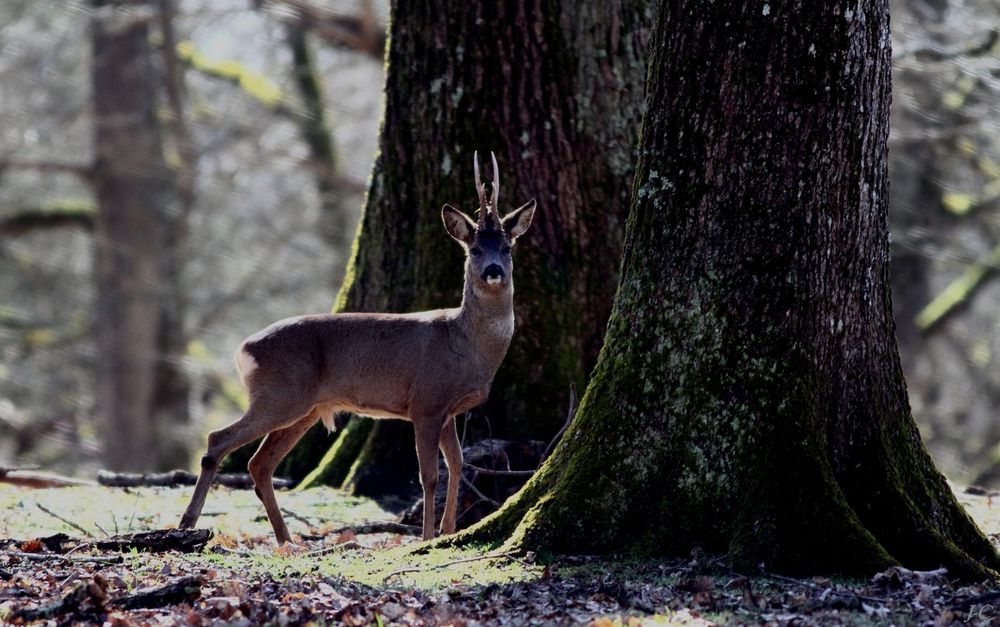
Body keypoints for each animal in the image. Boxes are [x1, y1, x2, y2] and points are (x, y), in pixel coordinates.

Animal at [183, 152, 536, 544]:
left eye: (506, 247)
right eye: (474, 249)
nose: (493, 270)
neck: (465, 343)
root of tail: (243, 349)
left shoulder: (449, 411)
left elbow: (458, 465)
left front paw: (446, 532)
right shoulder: (426, 402)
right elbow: (428, 476)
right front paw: (426, 537)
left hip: (305, 407)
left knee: (258, 464)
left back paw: (287, 540)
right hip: (281, 394)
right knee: (218, 440)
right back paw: (189, 522)